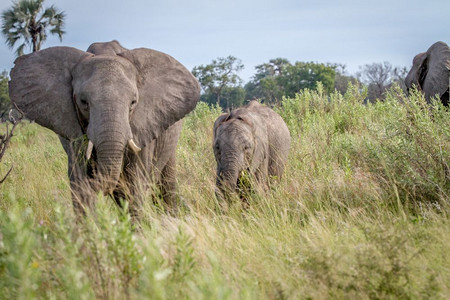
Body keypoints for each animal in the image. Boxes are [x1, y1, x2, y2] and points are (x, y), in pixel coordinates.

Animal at [9, 41, 200, 213]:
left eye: (133, 102)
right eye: (83, 102)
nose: (92, 174)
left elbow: (135, 188)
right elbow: (81, 191)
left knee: (165, 185)